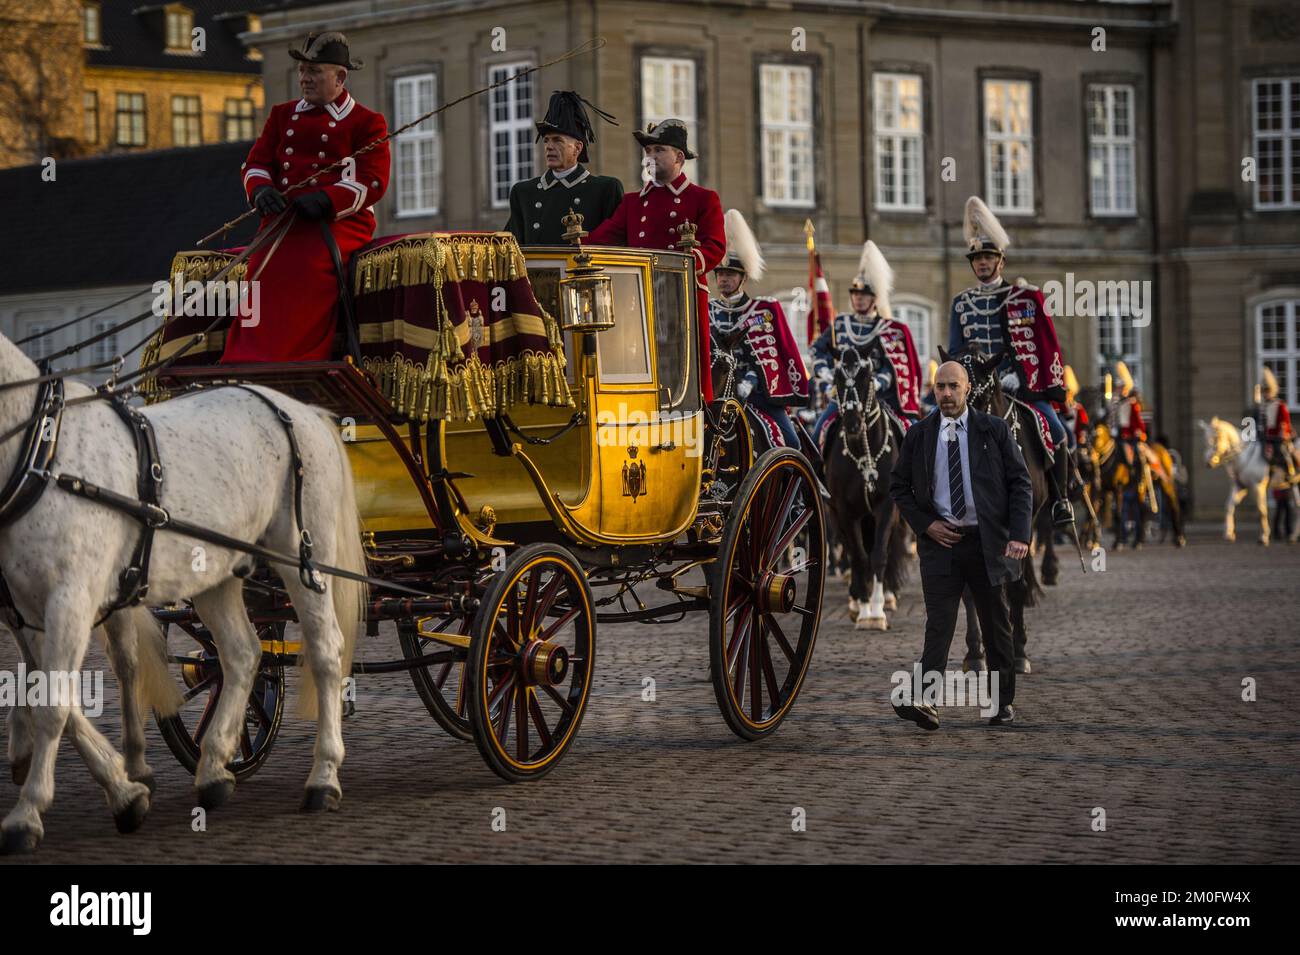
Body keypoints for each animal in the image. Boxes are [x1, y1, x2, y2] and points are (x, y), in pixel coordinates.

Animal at [1, 332, 366, 857]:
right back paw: (214, 768)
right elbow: (46, 694)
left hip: (304, 559)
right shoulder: (28, 610)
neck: (42, 454)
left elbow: (53, 703)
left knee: (324, 652)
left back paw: (323, 777)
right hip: (216, 575)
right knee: (242, 653)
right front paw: (124, 790)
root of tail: (306, 410)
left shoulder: (70, 600)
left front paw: (28, 814)